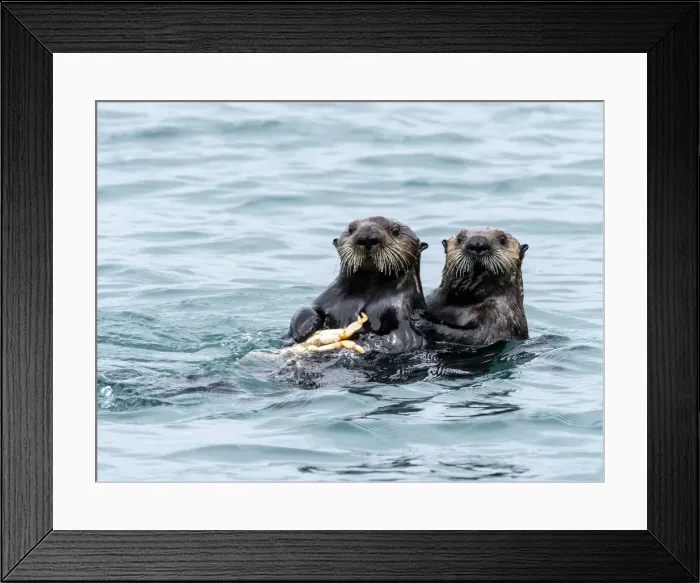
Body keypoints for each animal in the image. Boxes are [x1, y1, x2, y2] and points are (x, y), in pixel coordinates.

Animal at [287, 216, 430, 354]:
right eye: (351, 229)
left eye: (396, 230)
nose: (367, 237)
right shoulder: (328, 298)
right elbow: (306, 308)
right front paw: (305, 328)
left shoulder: (399, 310)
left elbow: (401, 338)